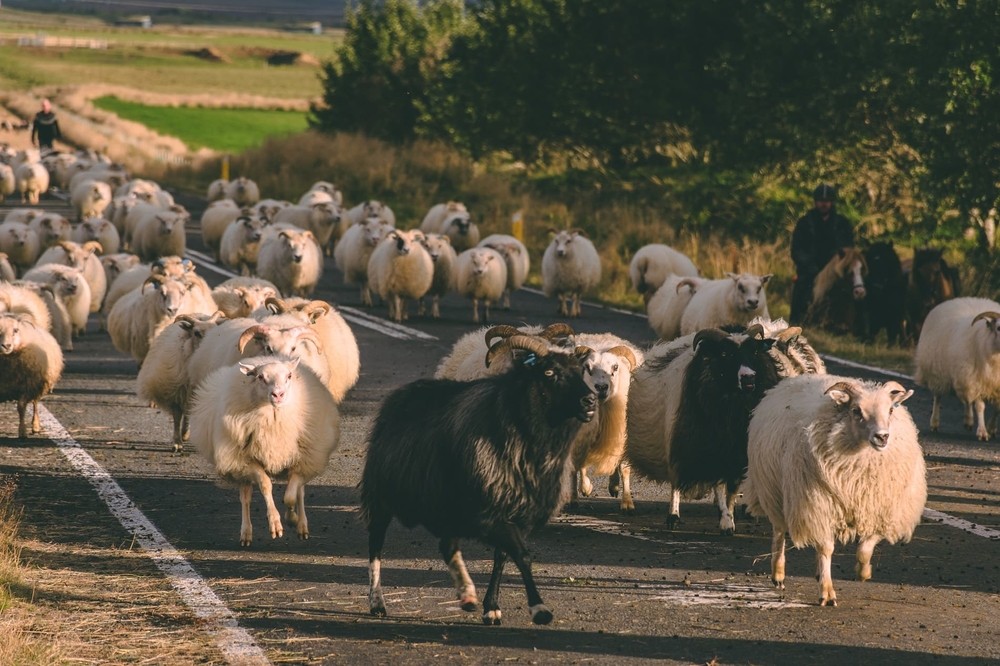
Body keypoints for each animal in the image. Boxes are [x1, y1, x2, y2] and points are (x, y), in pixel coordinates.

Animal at [137, 312, 227, 452]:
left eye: (215, 331)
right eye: (196, 333)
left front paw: (184, 435)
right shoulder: (174, 391)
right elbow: (177, 416)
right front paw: (177, 443)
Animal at [189, 356, 342, 544]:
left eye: (289, 376)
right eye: (260, 377)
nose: (278, 394)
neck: (275, 419)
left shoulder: (302, 460)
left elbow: (291, 496)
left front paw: (292, 518)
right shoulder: (247, 461)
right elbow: (265, 485)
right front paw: (275, 524)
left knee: (300, 492)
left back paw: (302, 526)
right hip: (238, 466)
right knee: (245, 498)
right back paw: (246, 533)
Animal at [360, 334, 592, 624]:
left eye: (581, 370)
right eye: (549, 373)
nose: (590, 401)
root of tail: (401, 393)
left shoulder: (514, 512)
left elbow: (503, 556)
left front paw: (491, 607)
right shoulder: (490, 512)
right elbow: (522, 555)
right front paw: (539, 609)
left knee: (447, 545)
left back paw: (467, 594)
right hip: (380, 493)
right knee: (375, 545)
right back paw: (377, 602)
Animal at [748, 374, 924, 608]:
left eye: (890, 410)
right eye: (856, 410)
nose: (882, 437)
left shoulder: (880, 508)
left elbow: (866, 546)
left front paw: (863, 572)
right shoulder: (819, 505)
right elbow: (826, 549)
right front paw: (827, 592)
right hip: (773, 491)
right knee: (779, 532)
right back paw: (778, 573)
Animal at [916, 296, 1000, 440]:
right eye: (999, 328)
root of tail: (955, 300)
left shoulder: (994, 384)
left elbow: (996, 408)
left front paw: (992, 428)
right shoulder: (976, 379)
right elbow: (980, 406)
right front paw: (982, 432)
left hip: (962, 374)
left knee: (966, 400)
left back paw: (968, 421)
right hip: (939, 373)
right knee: (938, 397)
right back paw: (935, 423)